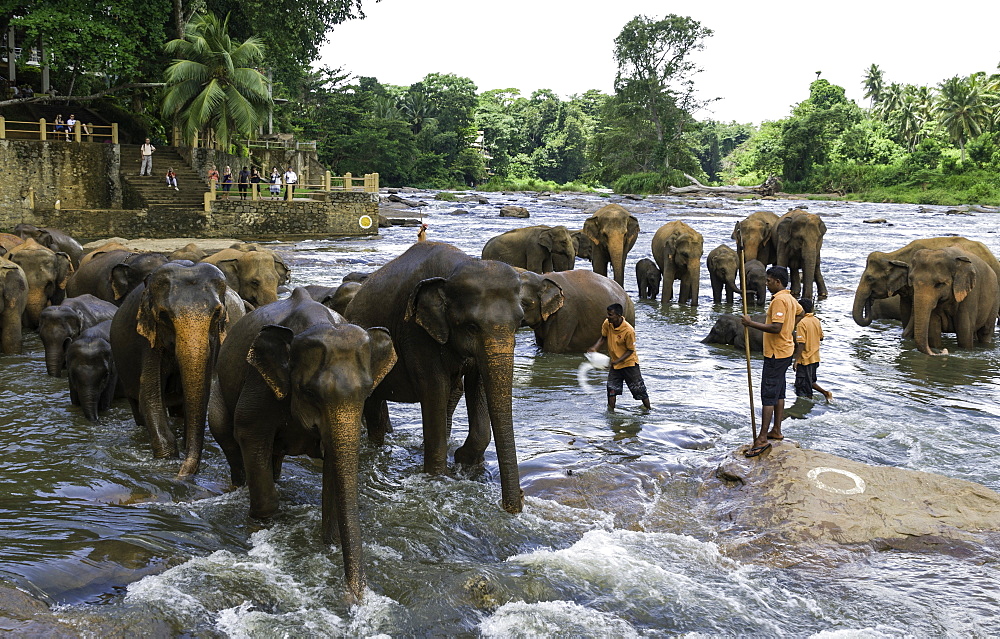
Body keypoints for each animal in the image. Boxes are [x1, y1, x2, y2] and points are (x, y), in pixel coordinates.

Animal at [111, 262, 230, 478]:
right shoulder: (148, 341)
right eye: (163, 315)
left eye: (217, 313)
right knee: (137, 406)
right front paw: (167, 462)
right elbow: (149, 396)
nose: (180, 474)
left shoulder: (215, 341)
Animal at [207, 288, 394, 604]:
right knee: (227, 436)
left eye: (368, 390)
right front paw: (264, 524)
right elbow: (248, 431)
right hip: (220, 386)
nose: (353, 597)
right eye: (309, 392)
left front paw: (329, 541)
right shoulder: (258, 381)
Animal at [346, 240, 524, 516]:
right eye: (471, 326)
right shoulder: (415, 331)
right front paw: (441, 476)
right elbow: (435, 388)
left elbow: (478, 384)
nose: (515, 506)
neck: (456, 267)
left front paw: (465, 462)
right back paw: (378, 448)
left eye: (520, 323)